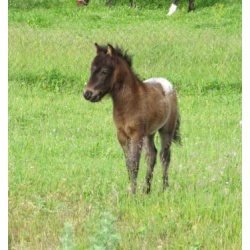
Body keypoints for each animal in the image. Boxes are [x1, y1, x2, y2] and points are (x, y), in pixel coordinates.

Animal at [83, 44, 181, 194]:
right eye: (91, 69)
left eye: (105, 71)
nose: (87, 94)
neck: (130, 102)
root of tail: (168, 84)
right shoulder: (122, 136)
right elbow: (128, 163)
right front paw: (131, 190)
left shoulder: (136, 135)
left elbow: (134, 163)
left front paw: (133, 194)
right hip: (149, 134)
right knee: (151, 155)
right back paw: (146, 190)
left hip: (166, 130)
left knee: (164, 156)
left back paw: (165, 189)